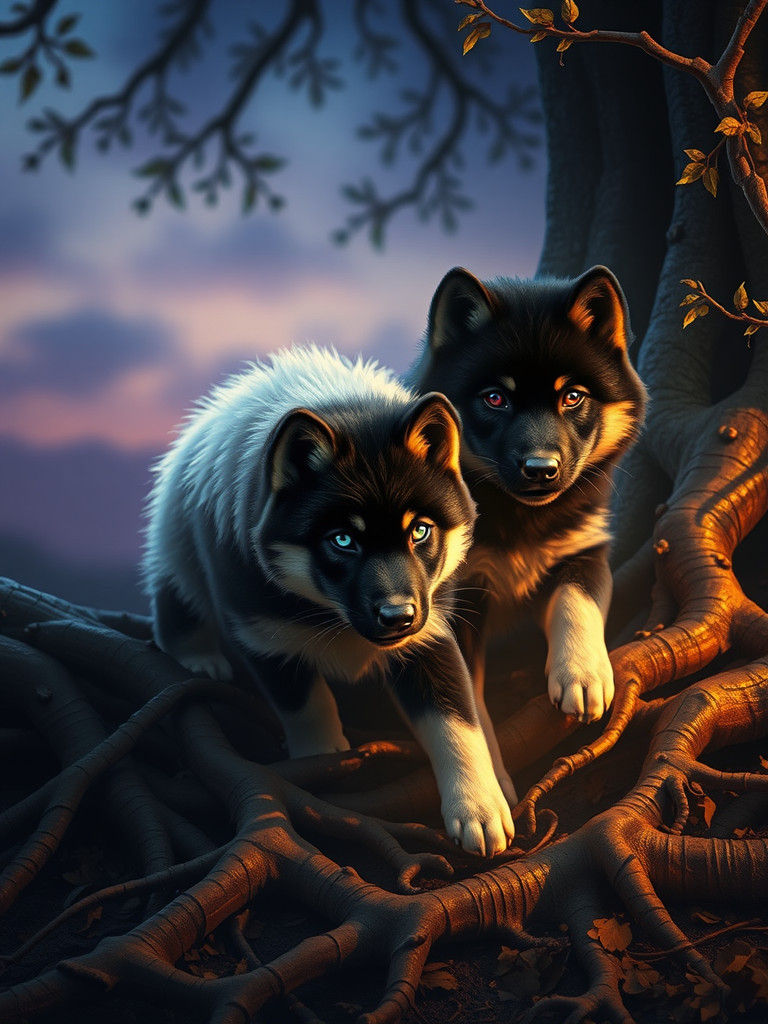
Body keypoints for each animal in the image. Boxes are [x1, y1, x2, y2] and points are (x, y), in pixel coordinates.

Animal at [143, 346, 514, 855]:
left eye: (420, 531)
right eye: (342, 540)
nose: (398, 617)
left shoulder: (430, 632)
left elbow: (455, 722)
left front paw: (479, 811)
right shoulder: (264, 636)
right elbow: (307, 704)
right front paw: (323, 761)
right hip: (176, 536)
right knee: (175, 596)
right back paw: (197, 657)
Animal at [409, 266, 647, 804]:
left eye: (572, 396)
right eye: (496, 398)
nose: (541, 469)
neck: (518, 520)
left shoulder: (585, 550)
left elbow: (576, 599)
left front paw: (582, 672)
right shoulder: (458, 606)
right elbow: (470, 707)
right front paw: (492, 787)